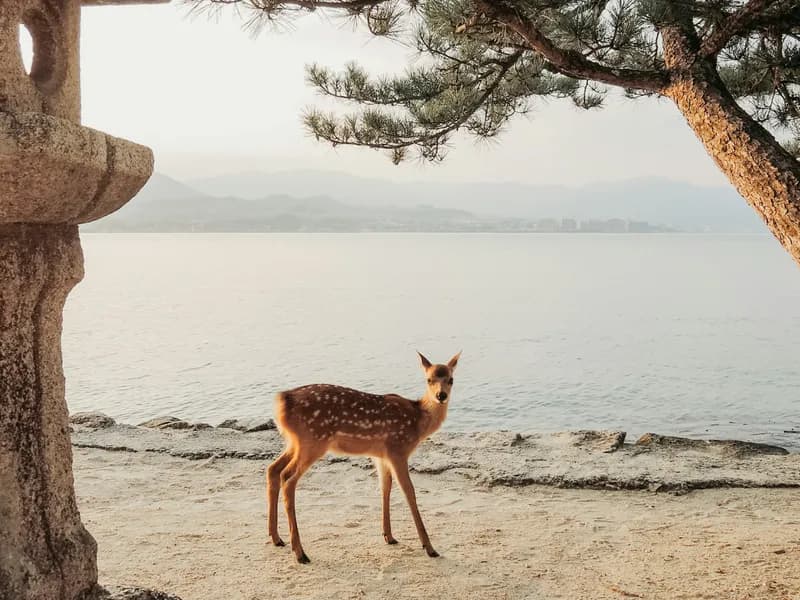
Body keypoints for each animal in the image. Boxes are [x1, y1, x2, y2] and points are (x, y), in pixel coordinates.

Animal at [266, 351, 461, 563]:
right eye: (429, 379)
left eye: (451, 379)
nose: (441, 396)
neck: (418, 422)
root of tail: (281, 401)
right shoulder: (398, 449)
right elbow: (409, 492)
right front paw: (429, 548)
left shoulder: (382, 456)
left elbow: (385, 488)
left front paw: (389, 536)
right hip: (313, 441)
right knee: (288, 478)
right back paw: (300, 553)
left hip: (295, 442)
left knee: (273, 469)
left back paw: (276, 538)